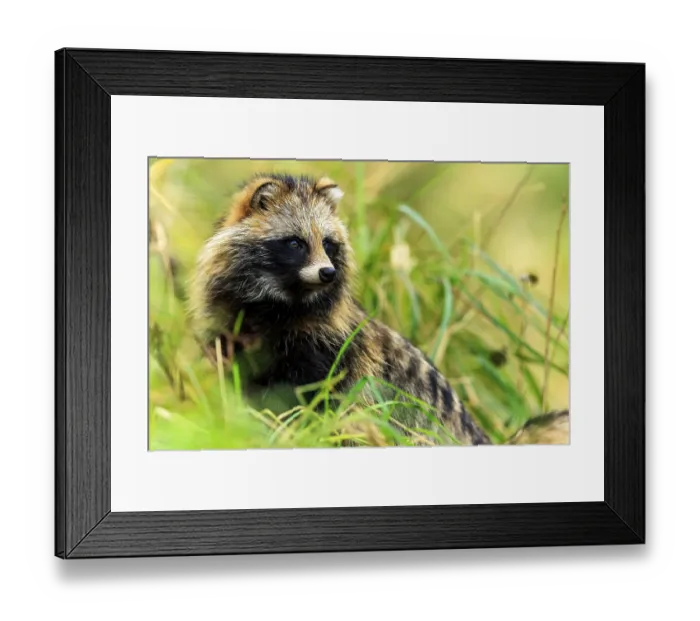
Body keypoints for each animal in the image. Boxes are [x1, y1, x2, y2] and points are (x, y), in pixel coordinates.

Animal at [190, 174, 538, 446]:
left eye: (328, 243)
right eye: (295, 243)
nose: (328, 273)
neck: (281, 300)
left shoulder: (325, 344)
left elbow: (313, 398)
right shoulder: (230, 336)